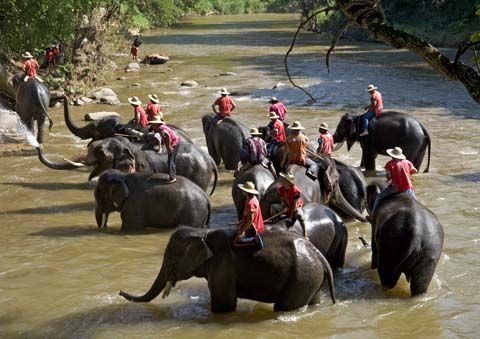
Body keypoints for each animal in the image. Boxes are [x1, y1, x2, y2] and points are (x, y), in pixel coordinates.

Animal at [118, 227, 336, 312]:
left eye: (171, 262)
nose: (119, 291)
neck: (203, 233)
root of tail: (318, 254)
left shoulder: (223, 266)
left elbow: (225, 305)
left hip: (301, 276)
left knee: (284, 307)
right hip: (311, 277)